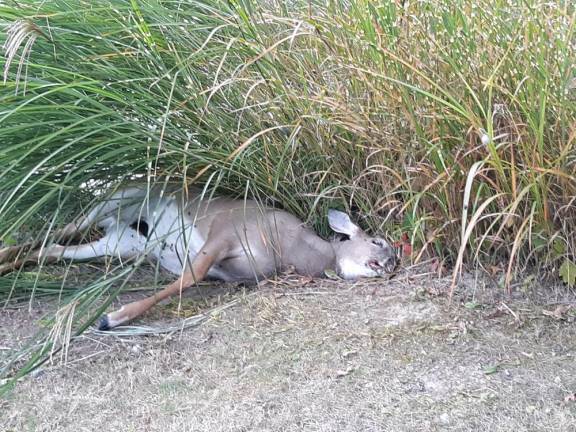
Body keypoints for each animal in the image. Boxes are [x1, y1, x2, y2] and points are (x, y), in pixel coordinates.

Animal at [0, 182, 396, 330]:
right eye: (378, 241)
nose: (393, 262)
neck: (288, 244)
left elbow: (192, 277)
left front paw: (112, 317)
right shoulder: (226, 234)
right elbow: (188, 278)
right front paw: (111, 317)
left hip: (115, 243)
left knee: (52, 249)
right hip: (110, 203)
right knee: (55, 232)